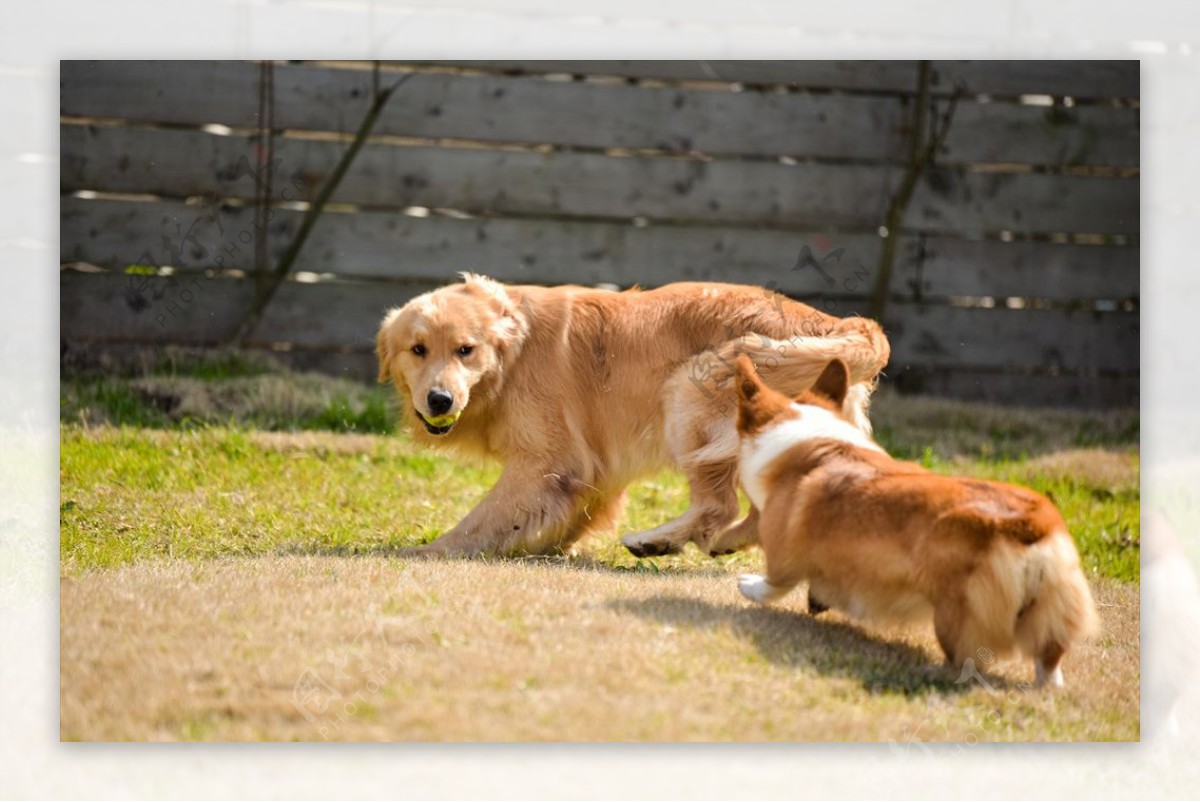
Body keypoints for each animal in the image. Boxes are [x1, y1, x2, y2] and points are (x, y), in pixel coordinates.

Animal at [374, 273, 892, 557]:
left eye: (466, 350)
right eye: (417, 350)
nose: (439, 400)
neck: (512, 355)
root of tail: (841, 324)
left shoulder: (547, 462)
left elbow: (484, 517)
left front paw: (430, 551)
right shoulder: (592, 468)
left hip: (687, 399)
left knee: (718, 505)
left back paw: (657, 540)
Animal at [729, 352, 1099, 686]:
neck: (807, 443)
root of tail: (1034, 525)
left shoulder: (782, 551)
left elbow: (775, 583)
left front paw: (750, 586)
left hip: (957, 611)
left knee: (967, 661)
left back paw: (933, 673)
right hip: (1048, 607)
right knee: (1049, 658)